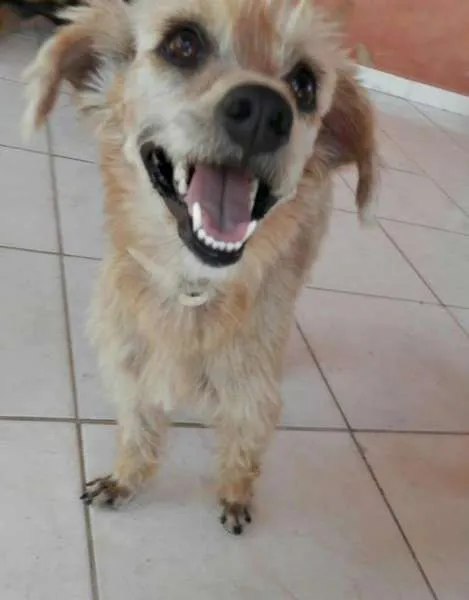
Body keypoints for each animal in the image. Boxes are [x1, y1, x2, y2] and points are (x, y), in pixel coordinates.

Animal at [23, 0, 376, 535]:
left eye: (305, 84)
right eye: (182, 43)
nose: (264, 112)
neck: (192, 287)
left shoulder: (250, 393)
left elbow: (244, 446)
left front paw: (234, 494)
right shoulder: (130, 368)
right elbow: (138, 431)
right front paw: (125, 479)